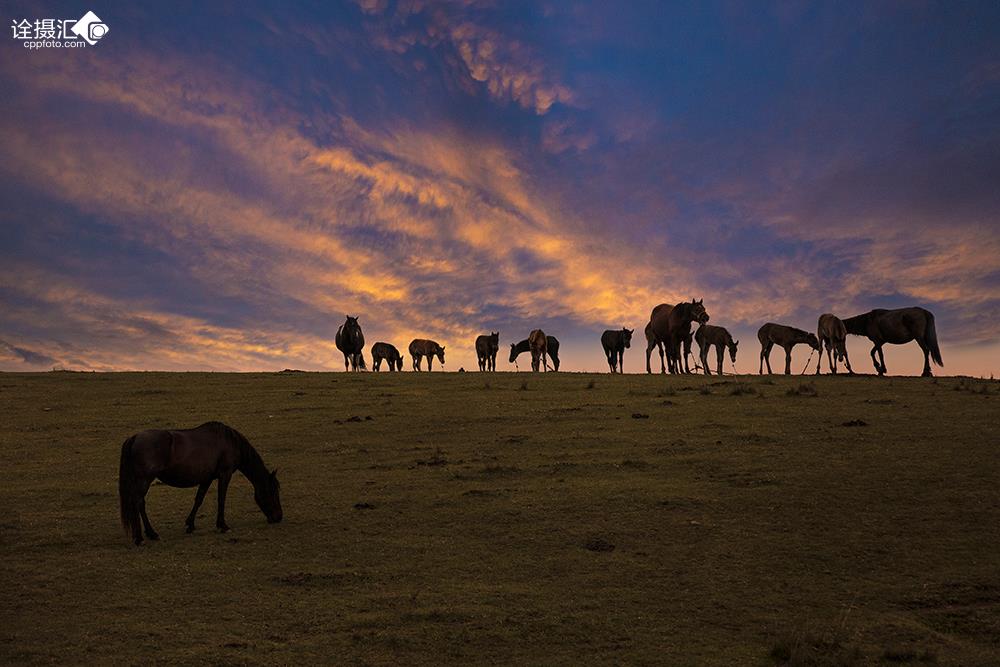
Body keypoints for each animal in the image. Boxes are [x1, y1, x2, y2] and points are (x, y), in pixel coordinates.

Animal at [118, 422, 282, 548]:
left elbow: (199, 499)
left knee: (140, 503)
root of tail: (134, 437)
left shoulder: (206, 478)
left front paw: (190, 525)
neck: (229, 442)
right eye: (273, 492)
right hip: (144, 480)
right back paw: (141, 538)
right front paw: (223, 525)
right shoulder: (225, 474)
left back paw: (150, 534)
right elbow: (221, 499)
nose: (279, 517)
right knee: (138, 502)